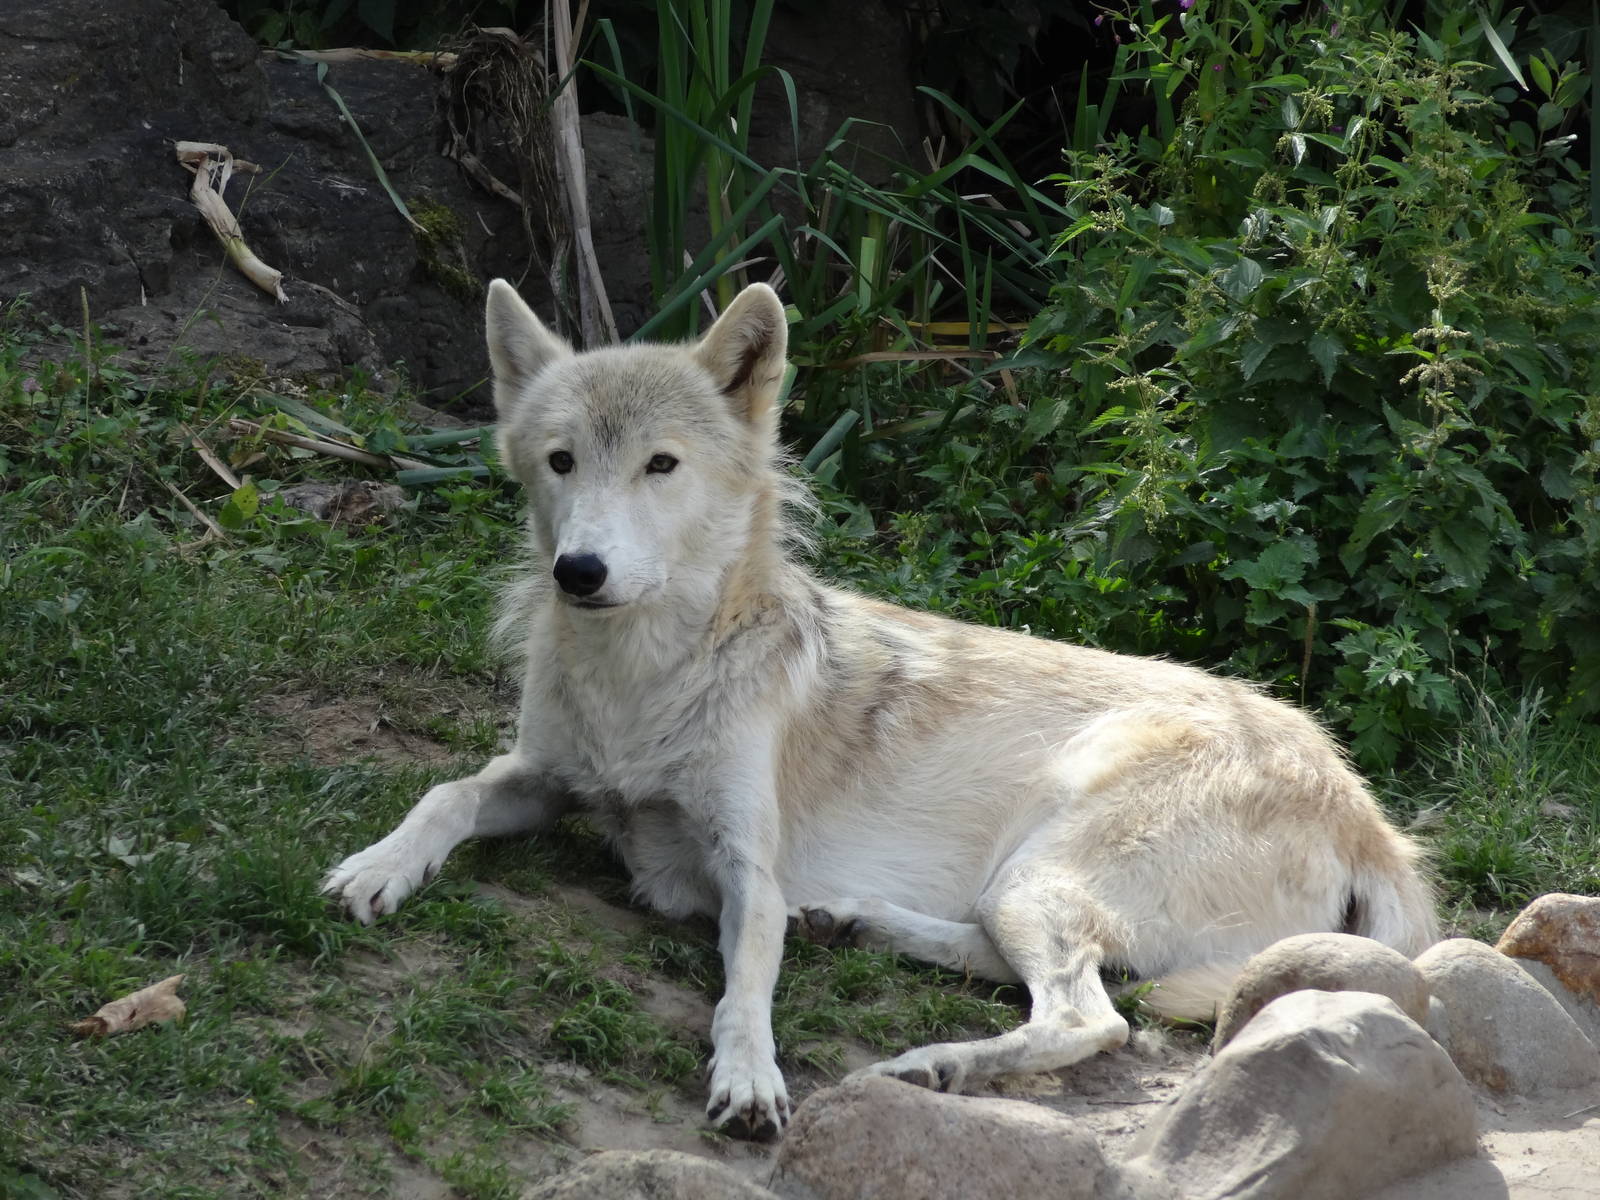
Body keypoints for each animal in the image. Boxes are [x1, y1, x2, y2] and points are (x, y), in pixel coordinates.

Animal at [324, 278, 1438, 1140]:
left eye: (660, 465)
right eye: (561, 461)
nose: (580, 571)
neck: (641, 681)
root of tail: (1361, 805)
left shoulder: (747, 865)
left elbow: (745, 988)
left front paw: (750, 1079)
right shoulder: (543, 774)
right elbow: (446, 793)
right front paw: (375, 869)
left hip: (1046, 866)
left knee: (1092, 1019)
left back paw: (931, 1065)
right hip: (1021, 887)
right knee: (1029, 968)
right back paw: (851, 925)